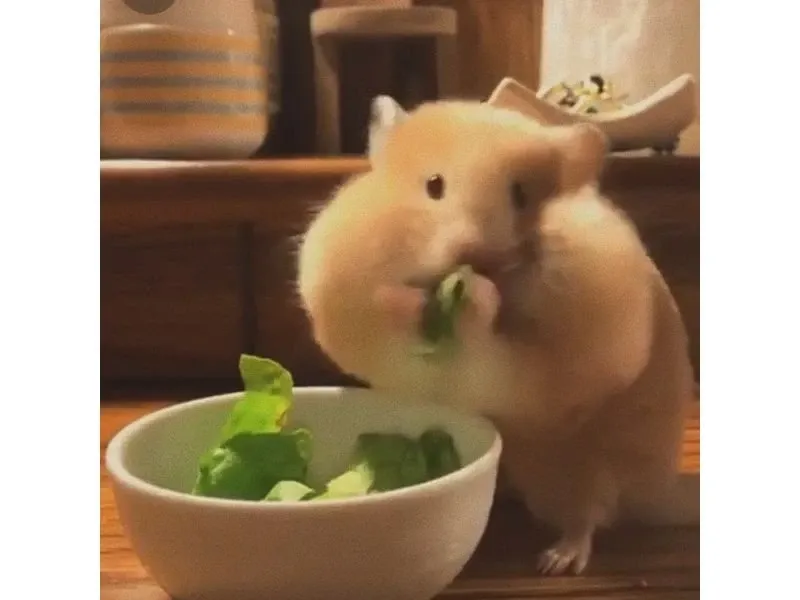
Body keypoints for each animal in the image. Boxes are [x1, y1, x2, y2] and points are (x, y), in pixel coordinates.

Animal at [296, 96, 697, 576]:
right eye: (433, 185)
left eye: (521, 194)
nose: (475, 256)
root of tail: (659, 490)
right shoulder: (352, 305)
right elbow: (384, 309)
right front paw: (405, 299)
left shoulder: (540, 365)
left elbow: (493, 345)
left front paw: (479, 295)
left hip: (597, 464)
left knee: (588, 515)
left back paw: (556, 560)